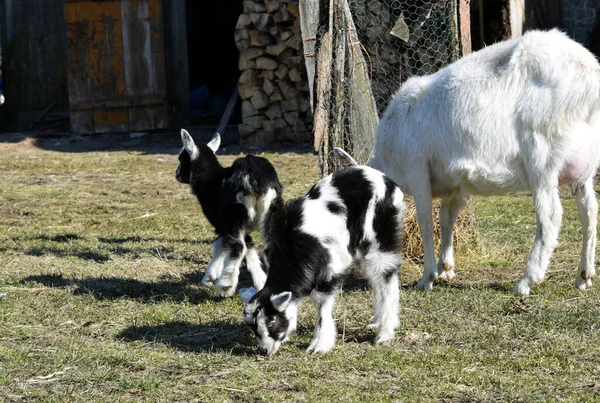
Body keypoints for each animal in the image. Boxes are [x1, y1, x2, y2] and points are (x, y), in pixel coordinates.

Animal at [370, 27, 600, 294]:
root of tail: (589, 75)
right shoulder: (454, 185)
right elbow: (446, 218)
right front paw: (445, 267)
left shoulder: (417, 169)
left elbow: (426, 221)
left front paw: (427, 277)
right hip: (585, 164)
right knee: (589, 210)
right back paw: (584, 276)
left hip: (541, 153)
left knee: (551, 216)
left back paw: (527, 280)